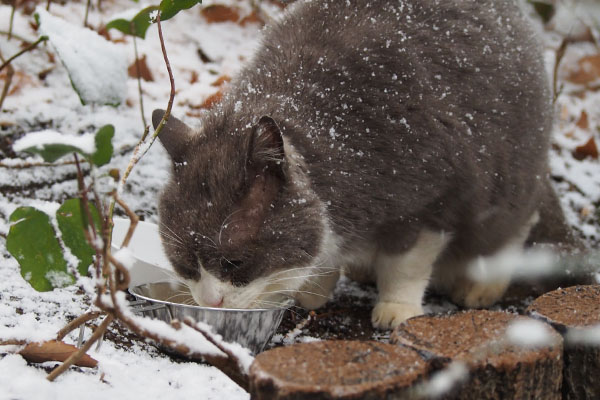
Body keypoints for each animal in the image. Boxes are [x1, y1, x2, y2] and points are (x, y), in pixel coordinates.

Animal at [154, 0, 572, 328]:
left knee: (515, 226)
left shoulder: (429, 203)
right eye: (184, 265)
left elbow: (405, 265)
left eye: (234, 262)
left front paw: (397, 307)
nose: (211, 301)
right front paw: (314, 287)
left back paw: (482, 284)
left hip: (509, 185)